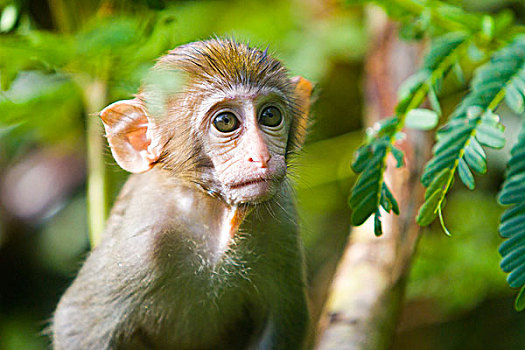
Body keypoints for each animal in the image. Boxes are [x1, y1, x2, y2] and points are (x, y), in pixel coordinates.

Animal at [50, 39, 312, 350]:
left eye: (270, 115)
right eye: (226, 121)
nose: (261, 156)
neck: (211, 210)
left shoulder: (281, 225)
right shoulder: (140, 245)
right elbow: (77, 322)